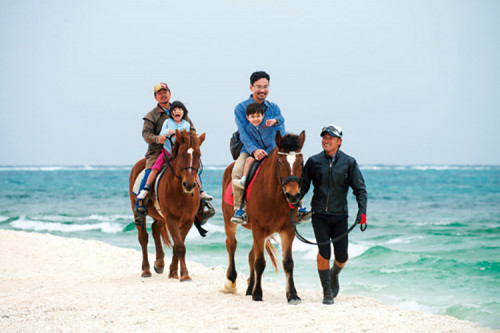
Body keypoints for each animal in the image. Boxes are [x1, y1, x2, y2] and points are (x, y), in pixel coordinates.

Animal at [130, 130, 206, 280]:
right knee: (143, 237)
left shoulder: (187, 220)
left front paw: (174, 272)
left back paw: (159, 263)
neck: (180, 192)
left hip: (160, 215)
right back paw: (146, 270)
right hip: (139, 211)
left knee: (155, 228)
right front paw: (185, 275)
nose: (189, 185)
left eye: (199, 155)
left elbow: (179, 245)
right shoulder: (171, 218)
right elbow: (180, 246)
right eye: (181, 154)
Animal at [222, 130, 304, 304]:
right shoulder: (259, 229)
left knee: (251, 255)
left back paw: (249, 288)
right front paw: (258, 294)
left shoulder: (287, 230)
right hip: (229, 222)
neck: (273, 195)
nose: (293, 196)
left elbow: (288, 263)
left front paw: (293, 295)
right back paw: (231, 282)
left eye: (301, 163)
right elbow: (259, 263)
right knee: (231, 245)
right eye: (280, 162)